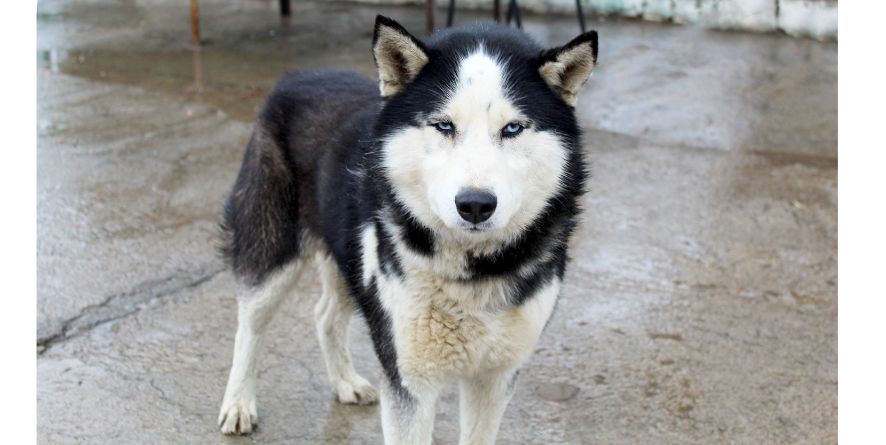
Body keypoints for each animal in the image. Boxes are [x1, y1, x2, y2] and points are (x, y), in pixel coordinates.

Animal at [219, 15, 600, 442]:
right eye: (444, 125)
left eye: (513, 128)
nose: (475, 204)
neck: (474, 271)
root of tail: (299, 75)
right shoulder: (409, 380)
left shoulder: (495, 377)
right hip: (272, 252)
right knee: (249, 325)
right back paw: (238, 404)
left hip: (350, 262)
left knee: (325, 315)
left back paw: (345, 381)